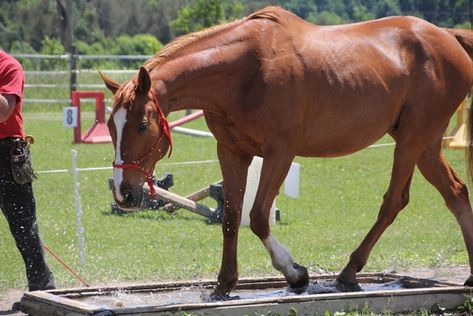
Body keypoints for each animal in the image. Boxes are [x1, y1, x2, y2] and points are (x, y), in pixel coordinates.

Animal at [101, 6, 472, 296]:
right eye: (109, 125)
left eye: (142, 125)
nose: (124, 193)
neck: (245, 71)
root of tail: (448, 37)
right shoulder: (232, 152)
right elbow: (232, 217)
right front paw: (225, 283)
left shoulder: (280, 153)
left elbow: (258, 217)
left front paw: (294, 273)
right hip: (424, 145)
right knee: (456, 193)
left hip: (411, 141)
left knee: (394, 202)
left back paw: (349, 272)